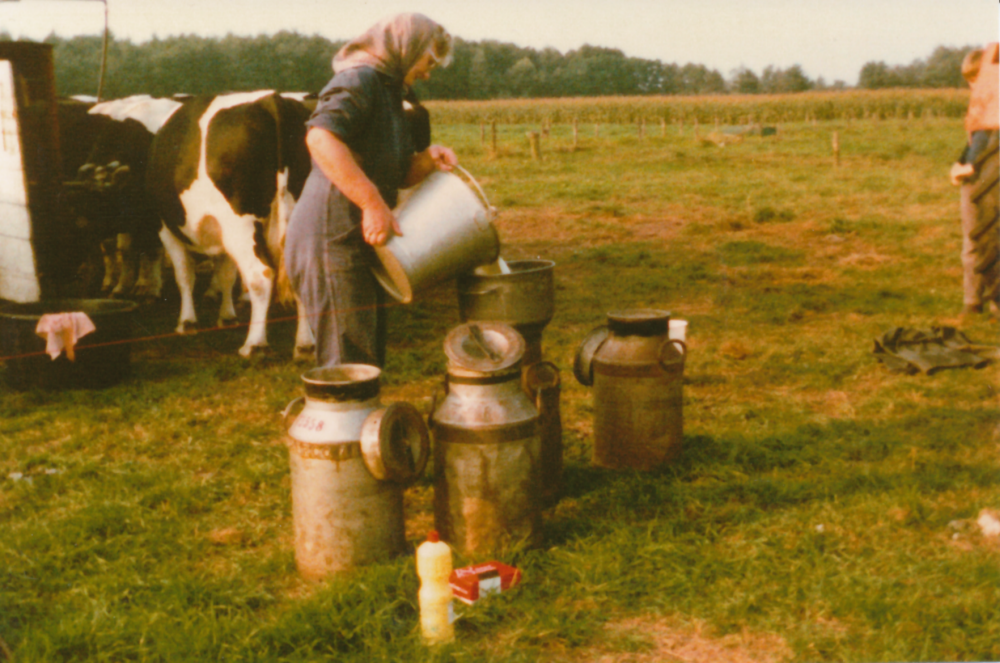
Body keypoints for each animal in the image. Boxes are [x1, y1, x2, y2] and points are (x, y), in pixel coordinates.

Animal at [145, 89, 312, 358]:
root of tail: (271, 100)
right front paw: (227, 317)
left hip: (240, 226)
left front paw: (187, 322)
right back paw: (305, 346)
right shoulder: (219, 230)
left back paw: (254, 345)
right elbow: (225, 275)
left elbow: (184, 275)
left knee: (260, 275)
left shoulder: (166, 229)